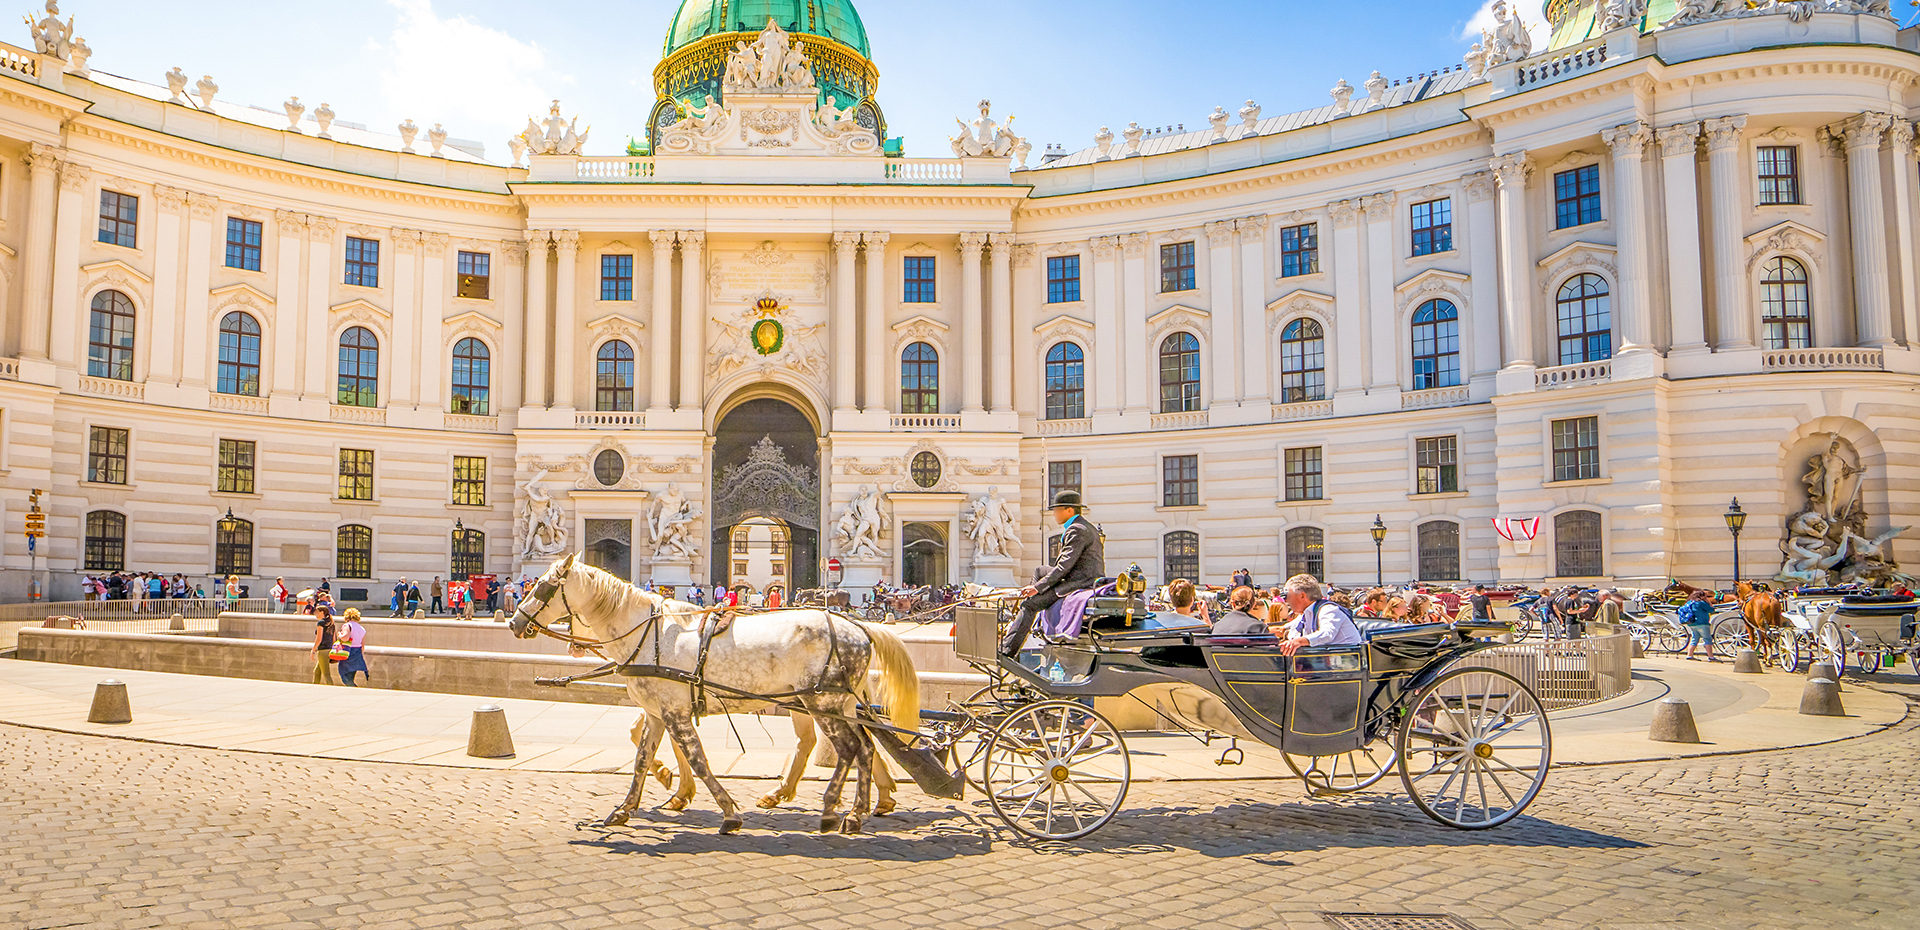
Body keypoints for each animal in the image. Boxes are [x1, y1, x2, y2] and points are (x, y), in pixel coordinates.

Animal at [514, 557, 917, 830]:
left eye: (543, 586)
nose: (515, 621)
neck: (648, 633)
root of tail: (858, 625)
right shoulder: (658, 713)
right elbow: (642, 759)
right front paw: (626, 808)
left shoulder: (674, 712)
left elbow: (698, 760)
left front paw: (727, 812)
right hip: (838, 703)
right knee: (866, 747)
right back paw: (859, 809)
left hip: (821, 703)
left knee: (850, 748)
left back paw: (835, 808)